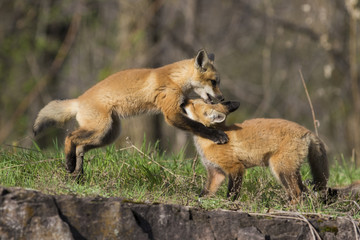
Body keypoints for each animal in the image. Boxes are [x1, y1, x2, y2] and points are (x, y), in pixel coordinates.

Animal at [32, 49, 226, 177]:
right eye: (214, 82)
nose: (222, 98)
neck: (175, 79)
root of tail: (78, 100)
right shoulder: (171, 114)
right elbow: (198, 126)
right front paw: (216, 135)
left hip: (107, 135)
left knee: (80, 147)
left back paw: (78, 173)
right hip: (100, 129)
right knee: (70, 137)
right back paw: (69, 164)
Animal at [183, 98, 330, 202]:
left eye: (193, 104)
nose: (183, 101)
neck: (212, 141)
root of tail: (307, 131)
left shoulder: (236, 168)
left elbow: (232, 192)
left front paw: (229, 204)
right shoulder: (216, 173)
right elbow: (205, 193)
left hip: (280, 169)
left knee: (297, 193)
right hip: (291, 170)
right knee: (304, 191)